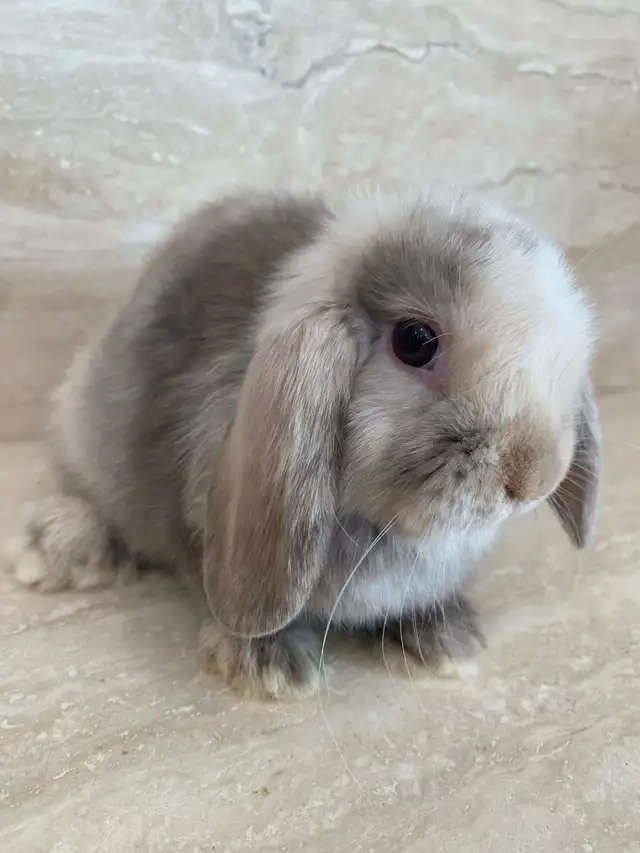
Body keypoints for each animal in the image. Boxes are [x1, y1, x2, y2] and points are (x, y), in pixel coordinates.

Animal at [14, 186, 602, 700]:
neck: (391, 528)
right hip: (82, 433)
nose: (531, 478)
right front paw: (269, 667)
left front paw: (445, 640)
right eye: (414, 341)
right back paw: (62, 550)